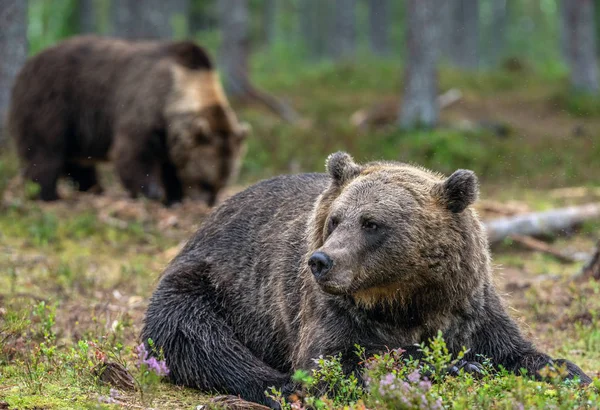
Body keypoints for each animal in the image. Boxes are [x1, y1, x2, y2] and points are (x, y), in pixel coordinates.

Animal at [7, 34, 246, 205]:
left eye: (221, 184)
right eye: (204, 182)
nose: (208, 203)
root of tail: (28, 64)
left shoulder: (170, 136)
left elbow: (171, 165)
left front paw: (173, 196)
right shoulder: (145, 107)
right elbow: (134, 153)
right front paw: (151, 192)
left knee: (76, 160)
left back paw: (94, 189)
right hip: (54, 103)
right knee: (45, 150)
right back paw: (47, 194)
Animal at [141, 153, 592, 406]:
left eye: (371, 223)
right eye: (336, 219)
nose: (320, 261)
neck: (404, 299)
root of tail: (210, 217)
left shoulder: (467, 305)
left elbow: (514, 350)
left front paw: (572, 373)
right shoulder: (330, 310)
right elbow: (338, 362)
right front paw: (453, 367)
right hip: (211, 285)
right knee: (197, 338)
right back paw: (279, 386)